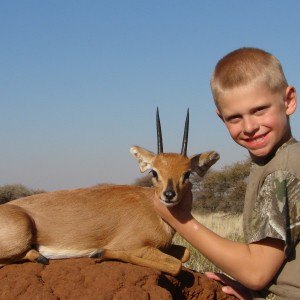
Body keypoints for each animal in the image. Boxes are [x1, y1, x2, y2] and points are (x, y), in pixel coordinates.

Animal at [0, 109, 219, 276]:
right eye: (154, 171)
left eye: (187, 173)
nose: (169, 195)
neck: (155, 213)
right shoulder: (134, 245)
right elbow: (175, 265)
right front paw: (99, 253)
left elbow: (185, 254)